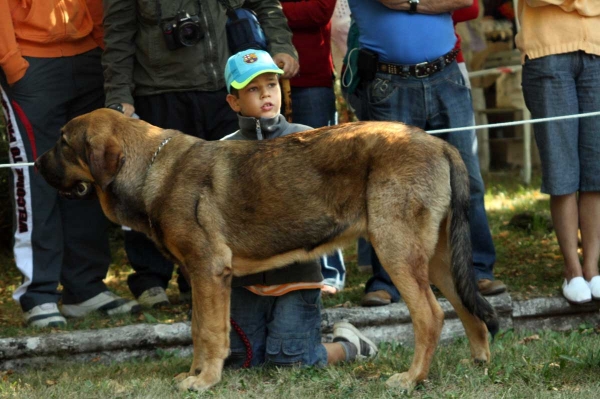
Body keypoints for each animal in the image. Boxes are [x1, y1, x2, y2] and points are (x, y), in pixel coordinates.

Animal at [35, 109, 500, 394]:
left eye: (63, 142)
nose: (36, 165)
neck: (150, 167)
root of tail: (440, 144)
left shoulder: (208, 271)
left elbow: (209, 332)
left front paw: (204, 382)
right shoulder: (204, 278)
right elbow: (200, 331)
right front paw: (196, 375)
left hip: (396, 250)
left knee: (431, 316)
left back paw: (410, 379)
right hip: (437, 260)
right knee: (465, 307)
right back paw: (478, 362)